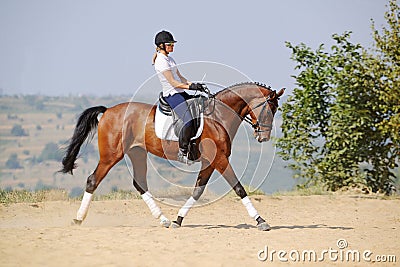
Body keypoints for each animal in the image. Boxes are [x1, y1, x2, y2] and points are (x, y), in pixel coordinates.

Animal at [60, 82, 284, 231]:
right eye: (269, 109)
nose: (263, 137)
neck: (218, 116)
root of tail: (107, 111)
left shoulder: (210, 162)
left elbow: (197, 191)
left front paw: (178, 219)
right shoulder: (219, 159)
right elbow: (239, 188)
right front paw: (261, 221)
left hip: (137, 153)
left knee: (140, 184)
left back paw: (163, 219)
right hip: (111, 155)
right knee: (93, 180)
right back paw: (78, 218)